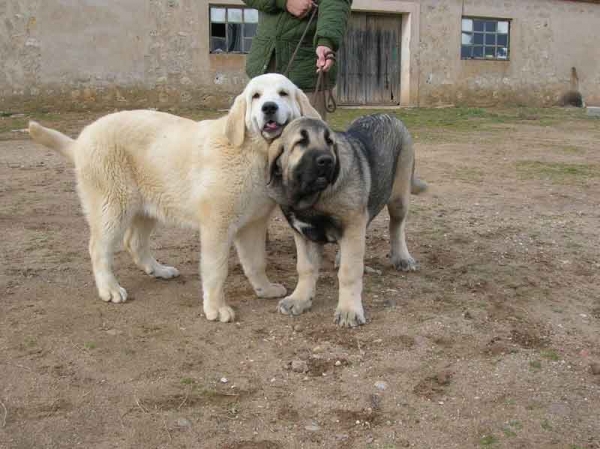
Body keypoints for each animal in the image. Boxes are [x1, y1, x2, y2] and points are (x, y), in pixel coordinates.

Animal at [29, 72, 318, 322]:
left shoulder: (253, 224)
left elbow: (257, 262)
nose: (269, 107)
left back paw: (158, 270)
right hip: (112, 205)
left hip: (147, 204)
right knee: (98, 248)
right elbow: (216, 269)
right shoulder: (218, 224)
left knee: (134, 242)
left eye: (283, 93)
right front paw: (216, 308)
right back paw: (109, 289)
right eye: (256, 96)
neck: (252, 150)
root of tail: (80, 141)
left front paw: (264, 289)